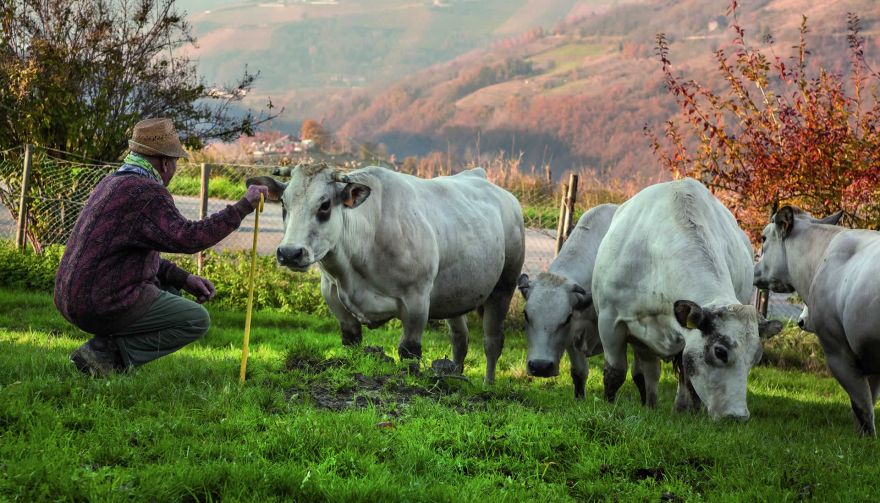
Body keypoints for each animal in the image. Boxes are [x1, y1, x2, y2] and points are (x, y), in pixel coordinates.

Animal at [244, 163, 524, 384]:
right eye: (283, 203)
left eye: (324, 205)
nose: (290, 253)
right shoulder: (333, 297)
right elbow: (352, 341)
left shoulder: (416, 300)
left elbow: (409, 351)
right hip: (455, 294)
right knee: (460, 339)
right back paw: (455, 374)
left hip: (504, 285)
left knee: (492, 341)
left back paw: (487, 385)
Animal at [752, 207, 880, 436]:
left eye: (763, 238)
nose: (755, 269)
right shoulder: (869, 356)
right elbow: (867, 403)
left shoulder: (837, 350)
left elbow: (862, 407)